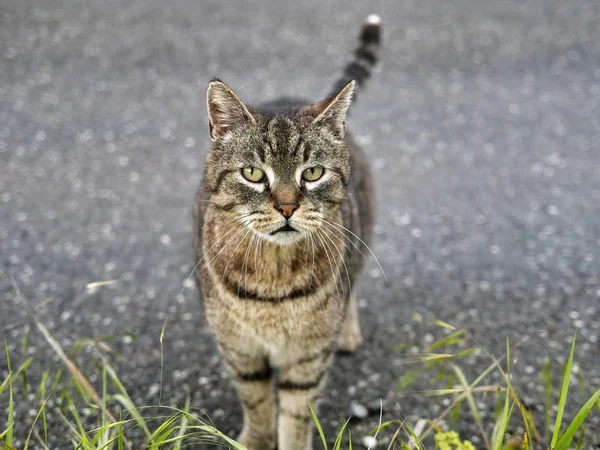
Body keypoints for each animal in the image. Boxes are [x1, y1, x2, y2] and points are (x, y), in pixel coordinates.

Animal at [197, 14, 382, 450]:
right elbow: (257, 403)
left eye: (312, 172)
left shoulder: (309, 357)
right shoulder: (239, 350)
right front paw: (254, 440)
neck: (274, 280)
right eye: (252, 172)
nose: (286, 206)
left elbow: (296, 414)